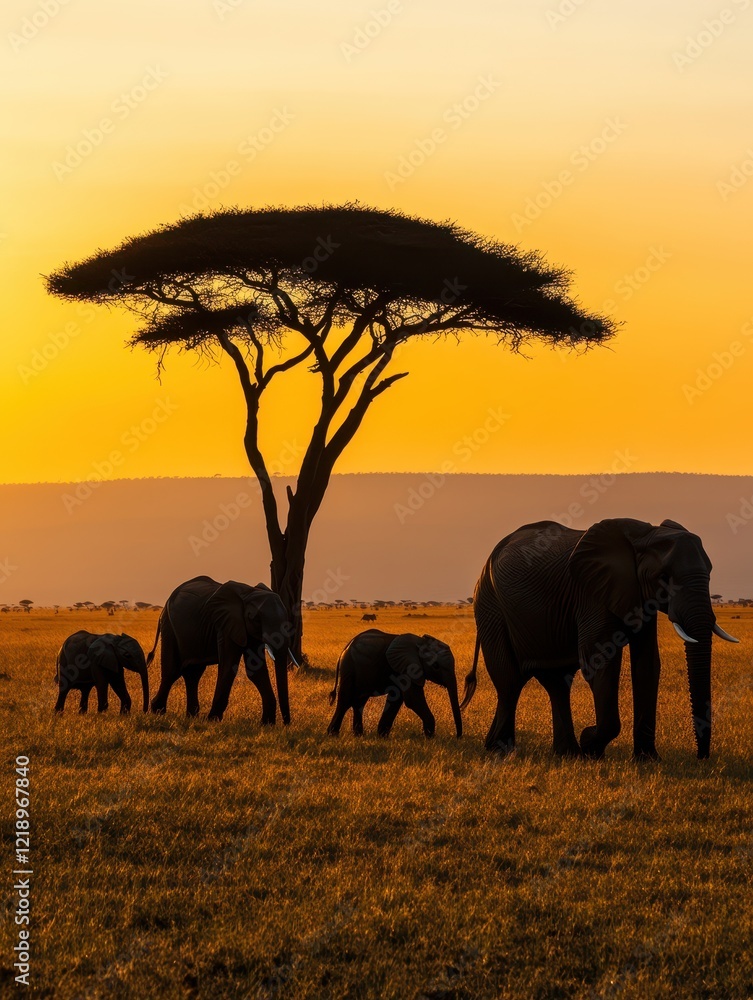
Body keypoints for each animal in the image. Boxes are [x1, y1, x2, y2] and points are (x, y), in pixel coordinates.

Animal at [148, 576, 297, 723]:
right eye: (254, 618)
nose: (286, 723)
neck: (249, 593)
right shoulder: (226, 625)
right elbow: (228, 667)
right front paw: (212, 720)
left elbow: (255, 670)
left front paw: (267, 724)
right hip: (169, 626)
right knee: (172, 670)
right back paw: (158, 711)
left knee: (193, 673)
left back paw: (191, 716)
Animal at [327, 629, 463, 738]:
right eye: (435, 666)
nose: (457, 737)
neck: (421, 643)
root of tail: (346, 647)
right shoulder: (407, 668)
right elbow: (412, 699)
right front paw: (430, 737)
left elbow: (397, 699)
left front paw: (382, 736)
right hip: (349, 668)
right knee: (345, 701)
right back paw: (333, 734)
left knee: (359, 702)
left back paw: (358, 735)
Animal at [461, 518, 738, 760]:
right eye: (664, 577)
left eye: (710, 572)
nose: (701, 757)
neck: (645, 535)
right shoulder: (591, 595)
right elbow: (600, 660)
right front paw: (591, 745)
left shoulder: (636, 592)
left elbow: (647, 664)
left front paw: (648, 760)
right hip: (490, 606)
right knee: (509, 680)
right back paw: (502, 750)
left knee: (556, 681)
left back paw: (566, 754)